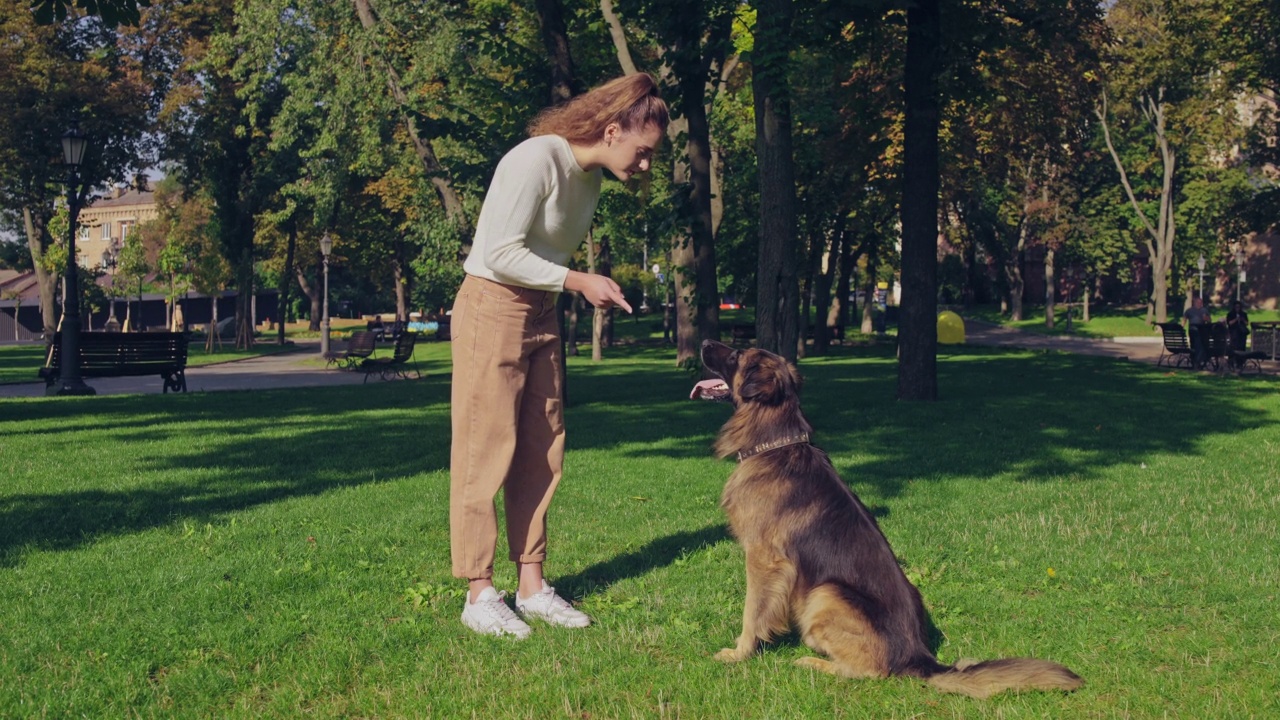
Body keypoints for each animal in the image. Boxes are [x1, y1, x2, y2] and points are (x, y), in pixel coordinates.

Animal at [696, 338, 1085, 696]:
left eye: (736, 354)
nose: (704, 342)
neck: (775, 442)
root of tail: (918, 656)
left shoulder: (764, 558)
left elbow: (752, 611)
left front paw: (739, 653)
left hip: (826, 593)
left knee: (871, 671)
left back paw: (814, 662)